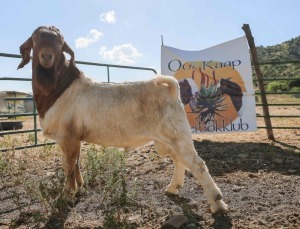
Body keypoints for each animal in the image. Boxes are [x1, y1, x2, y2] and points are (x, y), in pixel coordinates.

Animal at [17, 26, 227, 214]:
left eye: (60, 43)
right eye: (35, 39)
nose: (46, 56)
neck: (59, 88)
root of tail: (169, 88)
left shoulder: (67, 136)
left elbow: (68, 165)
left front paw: (66, 195)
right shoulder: (74, 137)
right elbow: (75, 162)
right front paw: (79, 187)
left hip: (177, 134)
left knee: (196, 164)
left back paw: (218, 204)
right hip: (166, 139)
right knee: (178, 160)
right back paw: (172, 188)